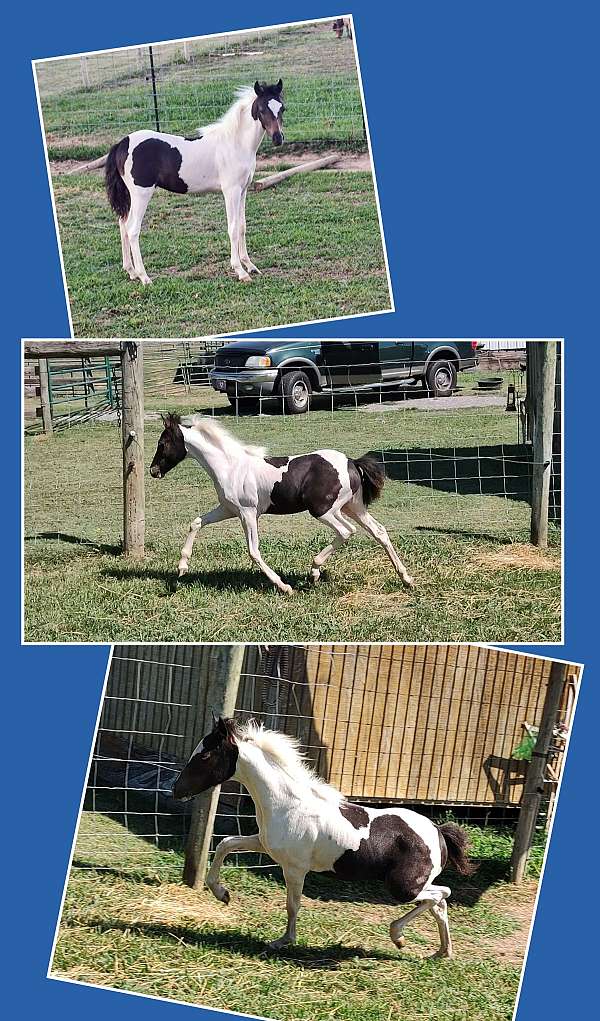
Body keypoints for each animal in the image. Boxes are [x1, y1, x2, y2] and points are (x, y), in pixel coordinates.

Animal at [105, 80, 285, 283]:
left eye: (282, 108)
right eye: (261, 109)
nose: (278, 139)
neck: (235, 144)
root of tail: (122, 143)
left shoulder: (243, 190)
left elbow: (241, 226)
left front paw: (251, 266)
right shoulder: (230, 191)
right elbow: (232, 228)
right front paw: (240, 271)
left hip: (130, 195)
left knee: (122, 225)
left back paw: (132, 272)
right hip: (141, 194)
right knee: (133, 230)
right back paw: (145, 277)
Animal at [148, 412, 416, 596]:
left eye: (163, 444)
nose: (153, 471)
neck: (230, 467)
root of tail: (351, 462)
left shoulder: (247, 513)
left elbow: (253, 551)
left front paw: (284, 586)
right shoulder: (228, 509)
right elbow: (196, 523)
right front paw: (182, 567)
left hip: (324, 510)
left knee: (346, 531)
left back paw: (314, 571)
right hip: (354, 507)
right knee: (379, 531)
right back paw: (406, 579)